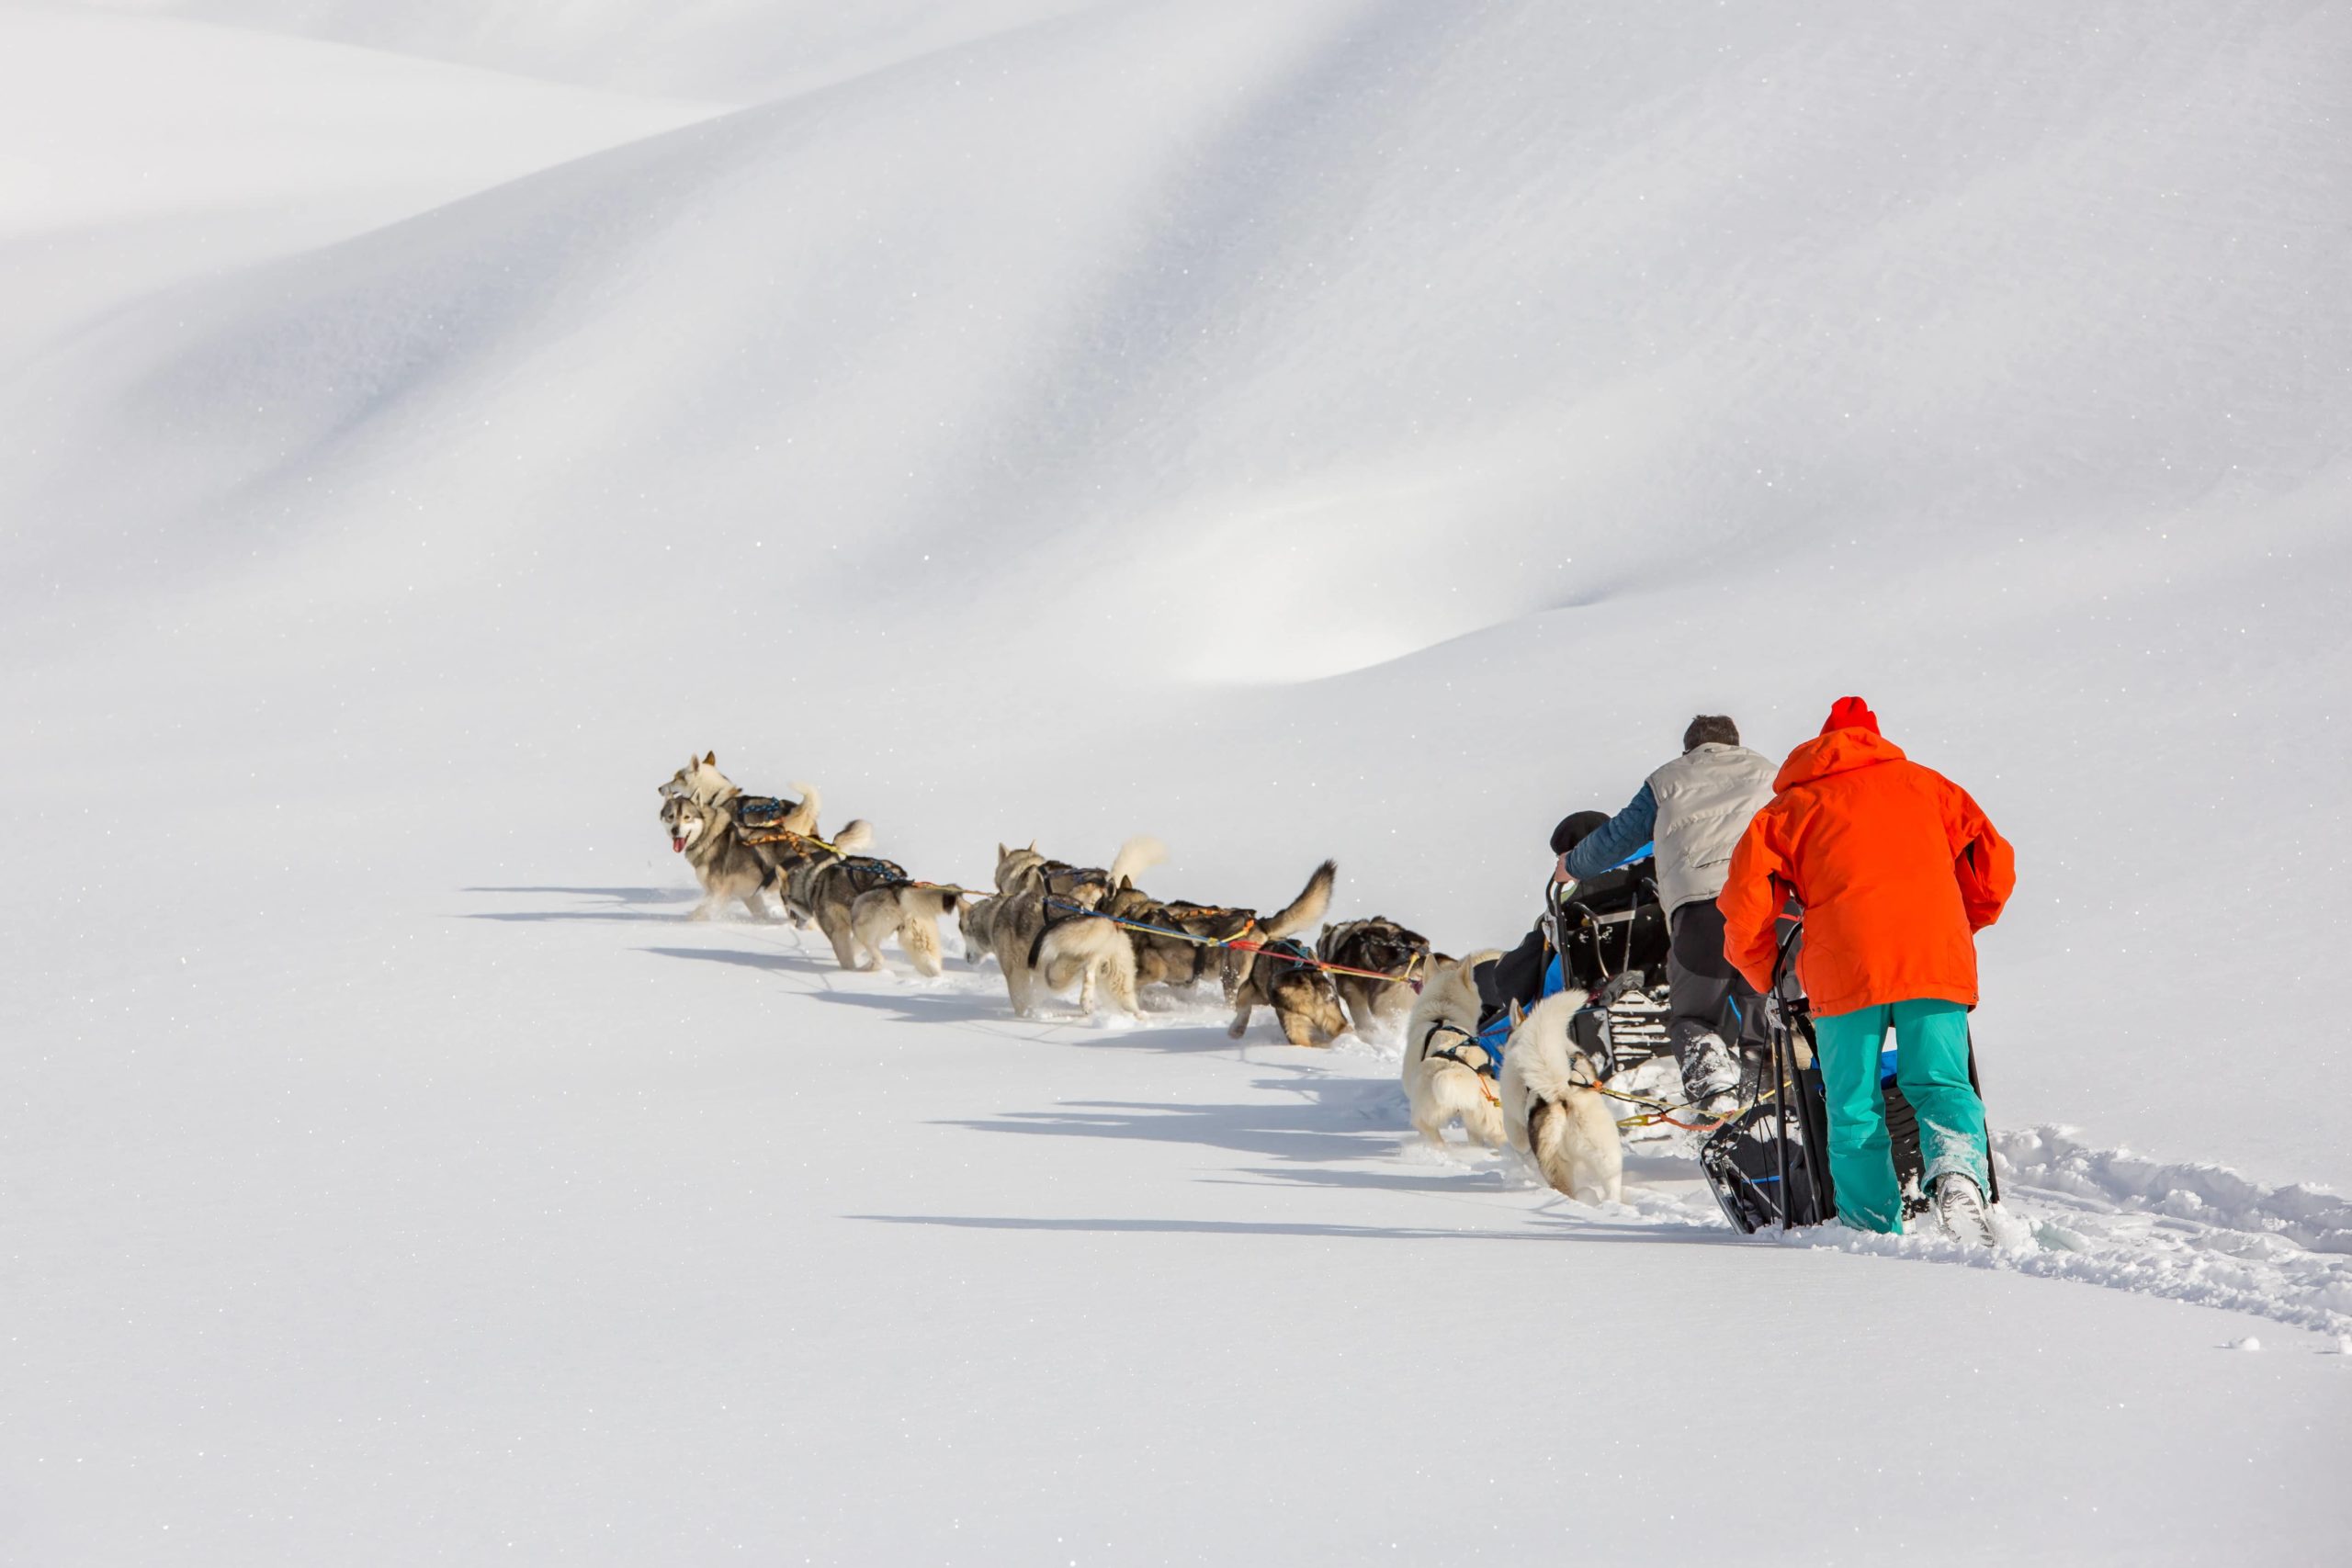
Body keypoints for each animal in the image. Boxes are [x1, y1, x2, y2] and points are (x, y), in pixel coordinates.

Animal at [662, 799, 780, 921]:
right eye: (671, 816)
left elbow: (698, 913)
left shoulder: (719, 893)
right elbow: (762, 914)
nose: (674, 830)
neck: (709, 839)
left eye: (687, 817)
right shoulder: (749, 895)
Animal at [1496, 991, 1627, 1203]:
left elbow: (1518, 1143)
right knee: (1612, 1190)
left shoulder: (1513, 1120)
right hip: (1607, 1160)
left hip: (1555, 1166)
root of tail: (1564, 1093)